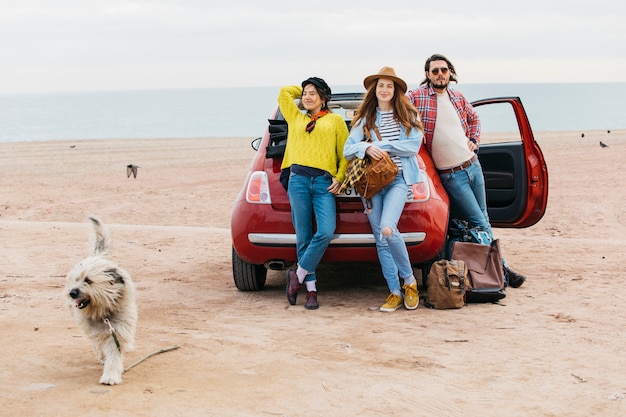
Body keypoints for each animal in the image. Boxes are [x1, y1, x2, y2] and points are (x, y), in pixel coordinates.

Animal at [64, 216, 136, 386]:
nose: (71, 293)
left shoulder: (119, 330)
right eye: (76, 279)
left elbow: (115, 355)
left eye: (88, 280)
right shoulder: (96, 331)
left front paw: (110, 375)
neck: (103, 311)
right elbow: (100, 344)